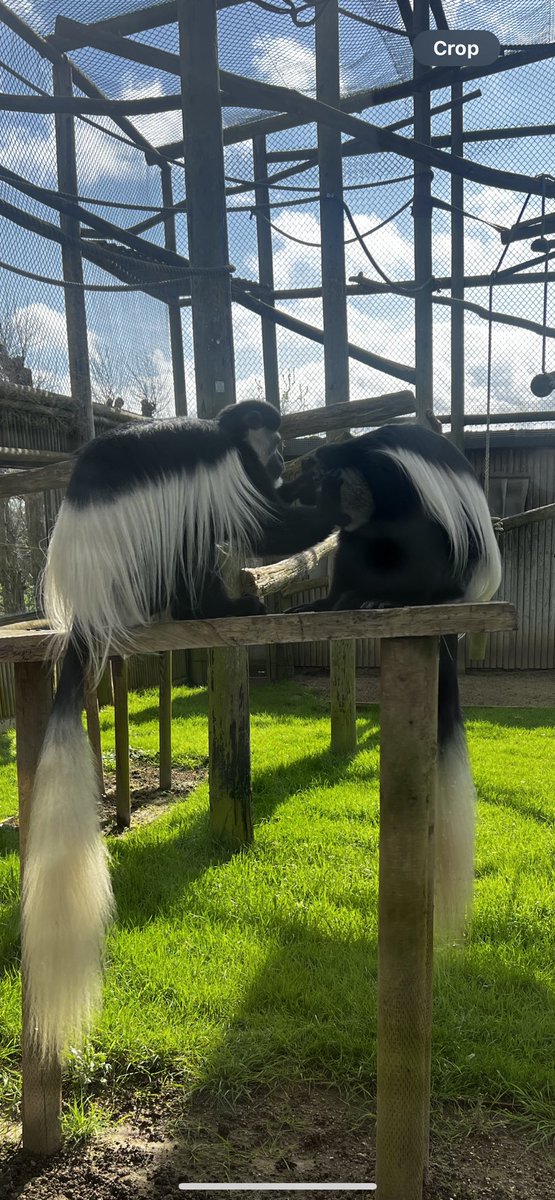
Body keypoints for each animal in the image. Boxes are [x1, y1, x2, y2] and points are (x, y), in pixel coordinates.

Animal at [23, 400, 339, 1063]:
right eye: (272, 438)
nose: (282, 455)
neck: (226, 433)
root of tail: (85, 613)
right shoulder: (223, 468)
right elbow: (266, 525)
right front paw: (329, 500)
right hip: (142, 572)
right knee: (194, 544)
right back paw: (219, 608)